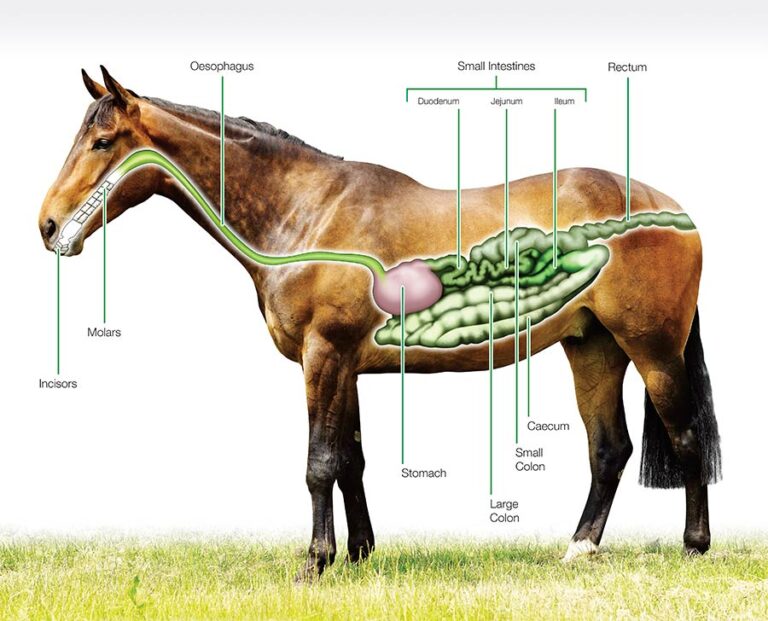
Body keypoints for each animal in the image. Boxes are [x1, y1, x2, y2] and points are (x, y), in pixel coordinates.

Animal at [38, 67, 721, 580]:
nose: (47, 225)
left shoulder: (324, 356)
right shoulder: (347, 366)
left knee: (685, 436)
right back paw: (578, 549)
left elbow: (319, 462)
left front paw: (315, 564)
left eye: (103, 143)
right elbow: (351, 460)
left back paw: (694, 547)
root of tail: (670, 207)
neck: (306, 212)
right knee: (609, 449)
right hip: (592, 348)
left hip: (654, 350)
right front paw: (360, 554)